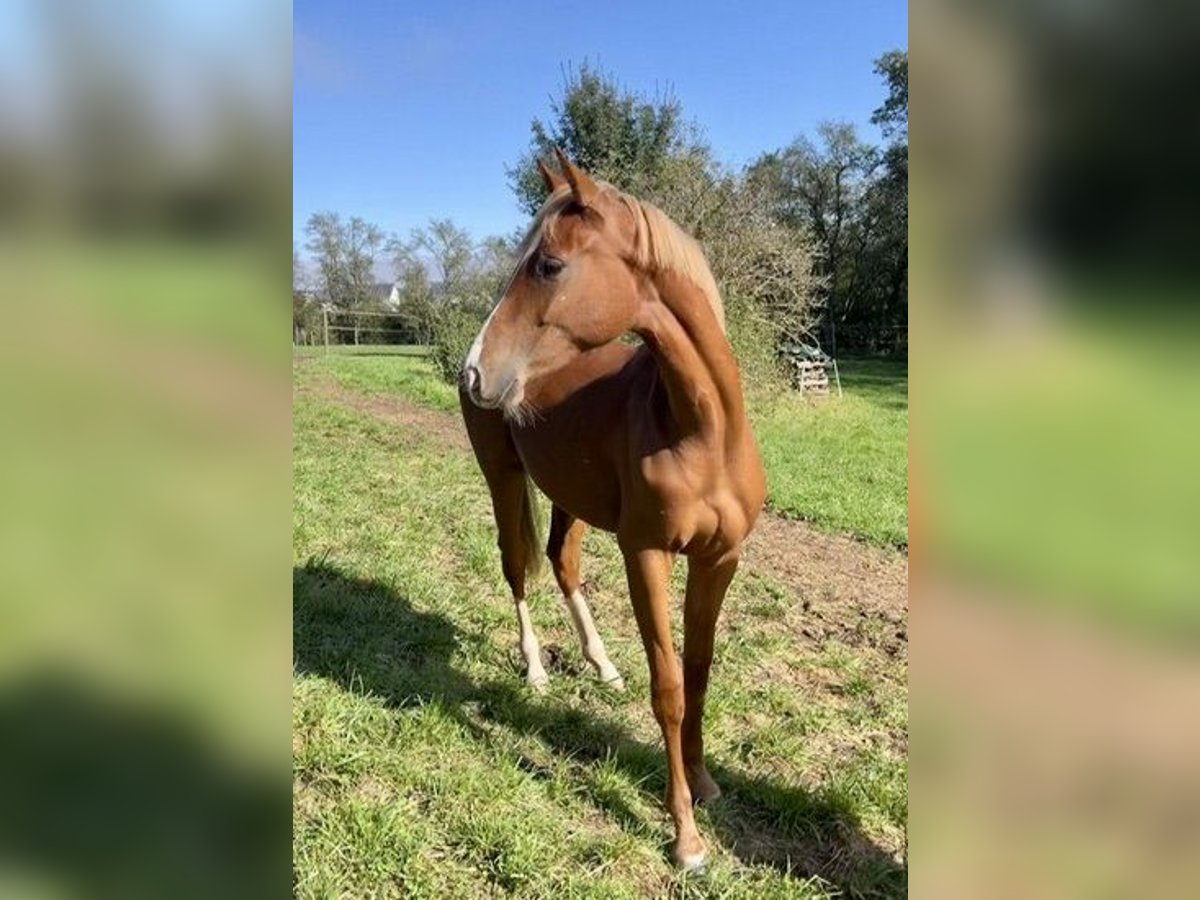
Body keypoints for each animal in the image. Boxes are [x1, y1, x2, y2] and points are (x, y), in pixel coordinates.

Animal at [458, 151, 768, 868]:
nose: (475, 373)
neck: (702, 431)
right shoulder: (646, 555)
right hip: (503, 477)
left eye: (548, 265)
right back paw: (536, 668)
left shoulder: (720, 560)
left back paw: (600, 664)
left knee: (561, 563)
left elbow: (700, 672)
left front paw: (705, 783)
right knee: (516, 566)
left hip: (569, 495)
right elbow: (670, 689)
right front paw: (685, 835)